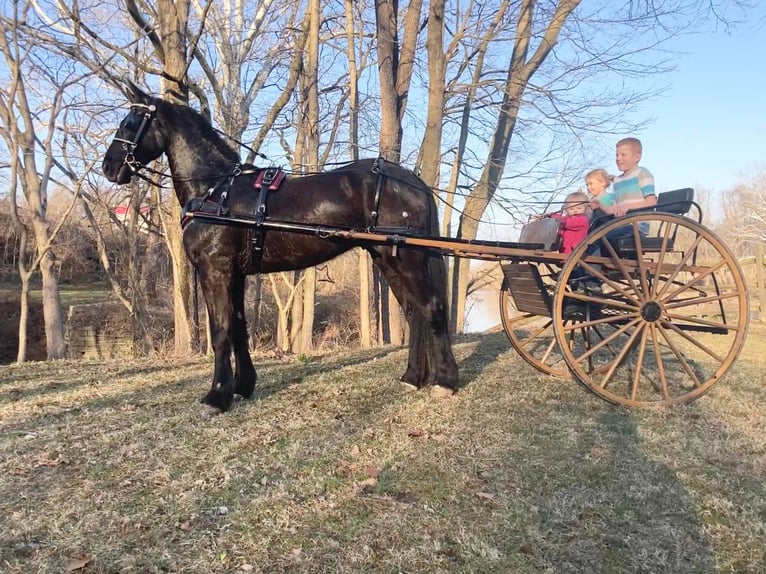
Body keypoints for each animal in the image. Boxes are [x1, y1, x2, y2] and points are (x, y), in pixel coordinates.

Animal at [102, 83, 462, 412]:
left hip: (407, 259)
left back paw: (445, 381)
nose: (108, 167)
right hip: (389, 258)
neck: (215, 191)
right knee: (415, 312)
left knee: (430, 307)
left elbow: (220, 330)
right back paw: (413, 377)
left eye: (130, 122)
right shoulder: (235, 274)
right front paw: (242, 386)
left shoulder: (214, 269)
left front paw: (217, 396)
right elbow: (238, 327)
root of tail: (413, 182)